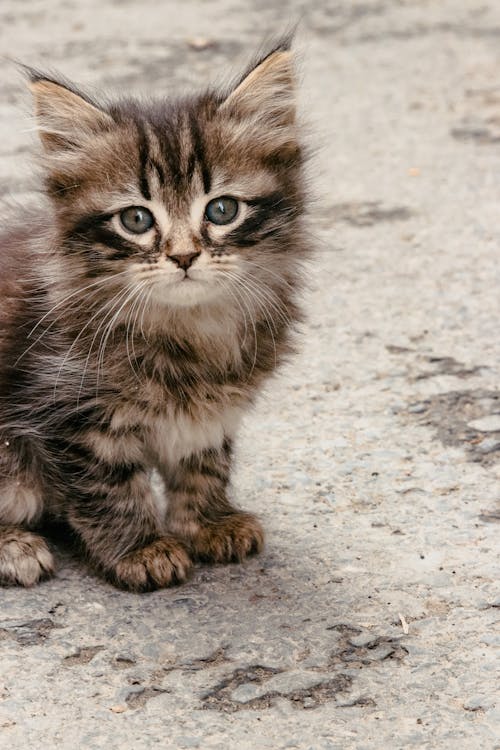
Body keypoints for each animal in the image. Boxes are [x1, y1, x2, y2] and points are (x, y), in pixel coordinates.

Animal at [0, 38, 308, 592]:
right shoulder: (70, 414)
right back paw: (15, 546)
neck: (189, 332)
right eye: (136, 219)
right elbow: (111, 490)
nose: (184, 256)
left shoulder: (211, 411)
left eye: (222, 210)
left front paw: (208, 522)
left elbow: (204, 461)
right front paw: (141, 549)